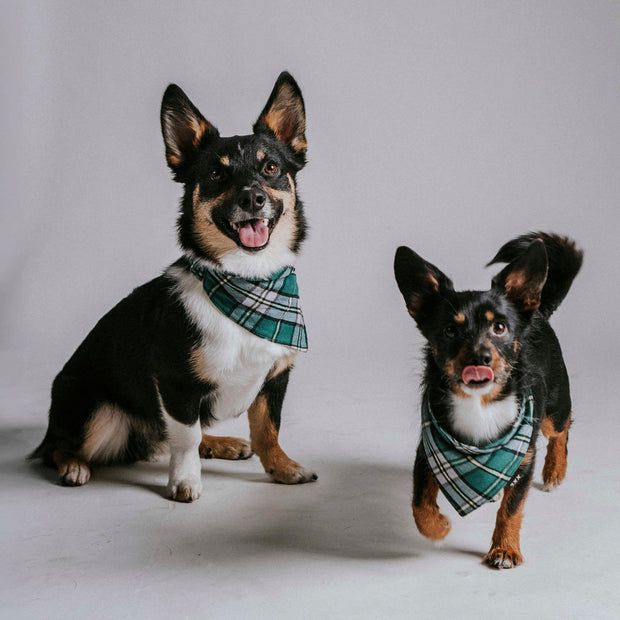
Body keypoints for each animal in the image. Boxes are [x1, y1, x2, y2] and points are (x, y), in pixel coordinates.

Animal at [31, 70, 318, 502]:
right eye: (216, 175)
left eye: (270, 168)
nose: (252, 198)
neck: (246, 282)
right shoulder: (176, 383)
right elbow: (185, 437)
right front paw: (185, 481)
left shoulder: (274, 377)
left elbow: (268, 429)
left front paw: (282, 468)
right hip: (96, 411)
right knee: (56, 448)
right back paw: (74, 466)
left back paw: (221, 443)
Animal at [394, 231, 584, 568]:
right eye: (449, 330)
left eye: (499, 327)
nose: (479, 357)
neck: (479, 404)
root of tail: (538, 311)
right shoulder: (425, 452)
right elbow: (419, 504)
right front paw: (438, 528)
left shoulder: (525, 458)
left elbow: (512, 510)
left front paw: (505, 549)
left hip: (552, 409)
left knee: (562, 428)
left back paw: (555, 471)